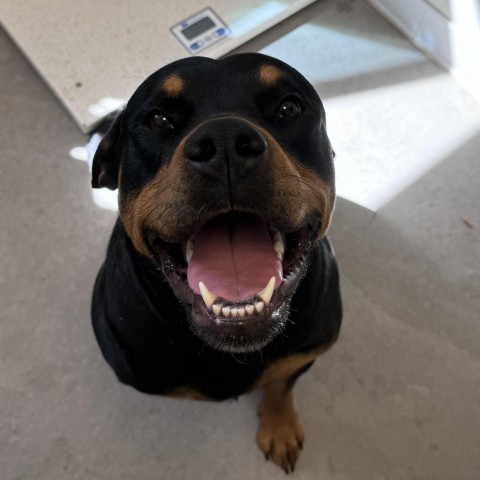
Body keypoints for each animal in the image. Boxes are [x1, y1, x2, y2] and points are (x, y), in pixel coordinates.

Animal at [90, 53, 344, 472]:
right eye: (158, 119)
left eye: (289, 108)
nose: (225, 141)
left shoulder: (304, 354)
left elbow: (281, 384)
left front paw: (279, 426)